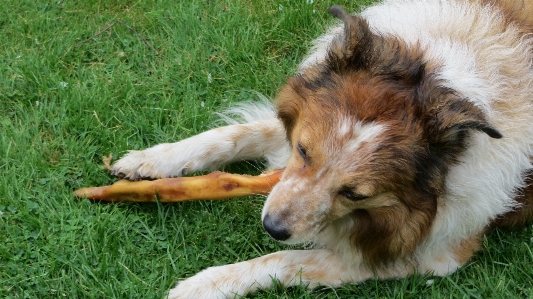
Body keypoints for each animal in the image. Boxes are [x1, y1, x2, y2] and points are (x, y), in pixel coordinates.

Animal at [109, 1, 532, 298]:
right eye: (303, 151)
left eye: (355, 194)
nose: (272, 227)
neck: (440, 76)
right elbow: (230, 134)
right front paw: (149, 161)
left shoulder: (433, 253)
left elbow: (287, 259)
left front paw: (204, 285)